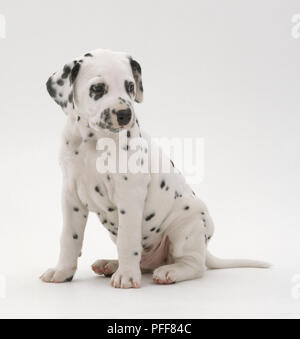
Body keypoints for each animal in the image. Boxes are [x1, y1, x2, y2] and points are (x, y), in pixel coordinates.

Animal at [40, 48, 270, 290]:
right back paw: (111, 264)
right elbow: (69, 238)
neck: (93, 142)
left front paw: (126, 276)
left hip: (186, 226)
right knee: (144, 262)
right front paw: (62, 271)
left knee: (195, 265)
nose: (125, 114)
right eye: (98, 88)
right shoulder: (71, 196)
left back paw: (170, 271)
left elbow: (127, 240)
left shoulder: (130, 195)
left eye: (130, 86)